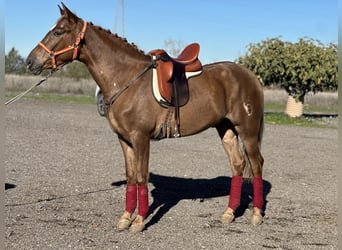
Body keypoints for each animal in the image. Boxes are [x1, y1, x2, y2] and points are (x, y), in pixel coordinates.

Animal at [26, 2, 264, 233]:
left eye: (58, 31)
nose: (30, 62)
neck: (127, 79)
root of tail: (251, 75)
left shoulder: (141, 137)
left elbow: (142, 176)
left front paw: (139, 221)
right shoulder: (124, 139)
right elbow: (131, 176)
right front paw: (125, 218)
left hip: (248, 130)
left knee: (256, 164)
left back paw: (256, 215)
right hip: (226, 128)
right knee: (238, 164)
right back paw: (229, 213)